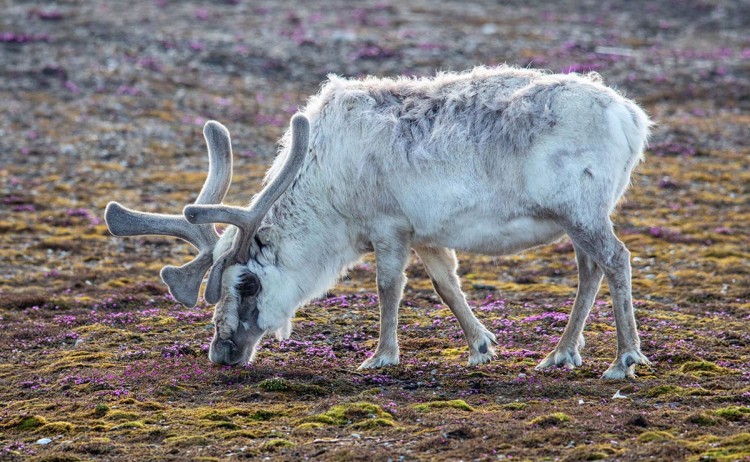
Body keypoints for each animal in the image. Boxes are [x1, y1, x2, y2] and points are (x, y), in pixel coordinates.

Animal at [104, 65, 652, 379]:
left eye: (248, 285)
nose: (221, 352)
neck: (328, 190)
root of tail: (633, 117)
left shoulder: (389, 227)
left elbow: (389, 288)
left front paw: (382, 355)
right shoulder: (426, 234)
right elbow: (447, 285)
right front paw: (481, 346)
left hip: (581, 209)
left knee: (617, 258)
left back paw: (623, 359)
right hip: (577, 217)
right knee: (590, 269)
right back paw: (562, 353)